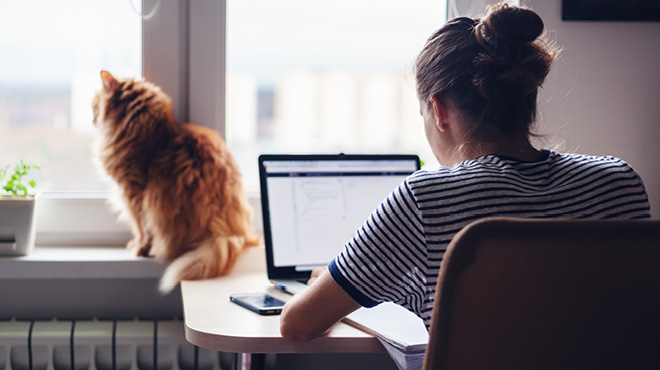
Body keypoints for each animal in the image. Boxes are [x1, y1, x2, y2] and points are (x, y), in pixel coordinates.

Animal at [91, 71, 262, 294]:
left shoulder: (133, 192)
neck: (149, 130)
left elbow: (141, 227)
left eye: (94, 105)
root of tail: (229, 231)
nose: (92, 118)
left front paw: (140, 247)